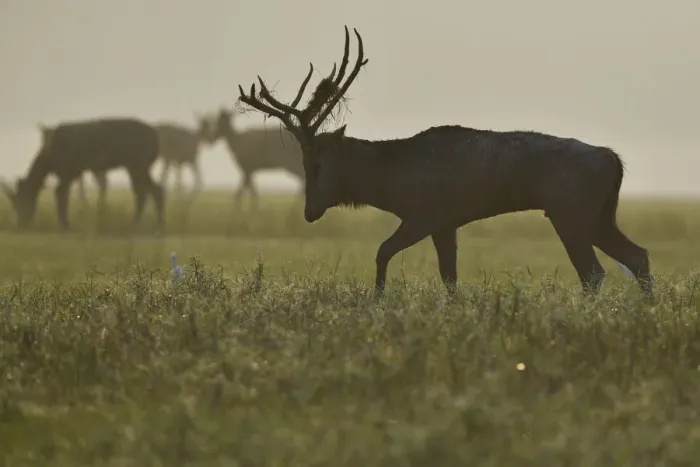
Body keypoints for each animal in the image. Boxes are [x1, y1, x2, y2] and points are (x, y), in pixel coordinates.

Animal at [2, 117, 164, 232]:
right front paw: (64, 224)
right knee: (151, 189)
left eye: (22, 200)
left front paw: (65, 225)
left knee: (145, 190)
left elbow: (60, 194)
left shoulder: (66, 172)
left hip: (138, 164)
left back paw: (141, 224)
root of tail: (156, 139)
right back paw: (154, 225)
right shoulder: (73, 173)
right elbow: (63, 194)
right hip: (137, 166)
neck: (47, 160)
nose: (21, 225)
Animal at [236, 25, 654, 298]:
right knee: (637, 256)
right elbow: (448, 278)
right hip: (598, 214)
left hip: (570, 211)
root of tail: (615, 161)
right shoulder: (446, 224)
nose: (310, 211)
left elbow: (382, 252)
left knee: (594, 273)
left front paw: (378, 301)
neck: (389, 179)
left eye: (317, 162)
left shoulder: (425, 214)